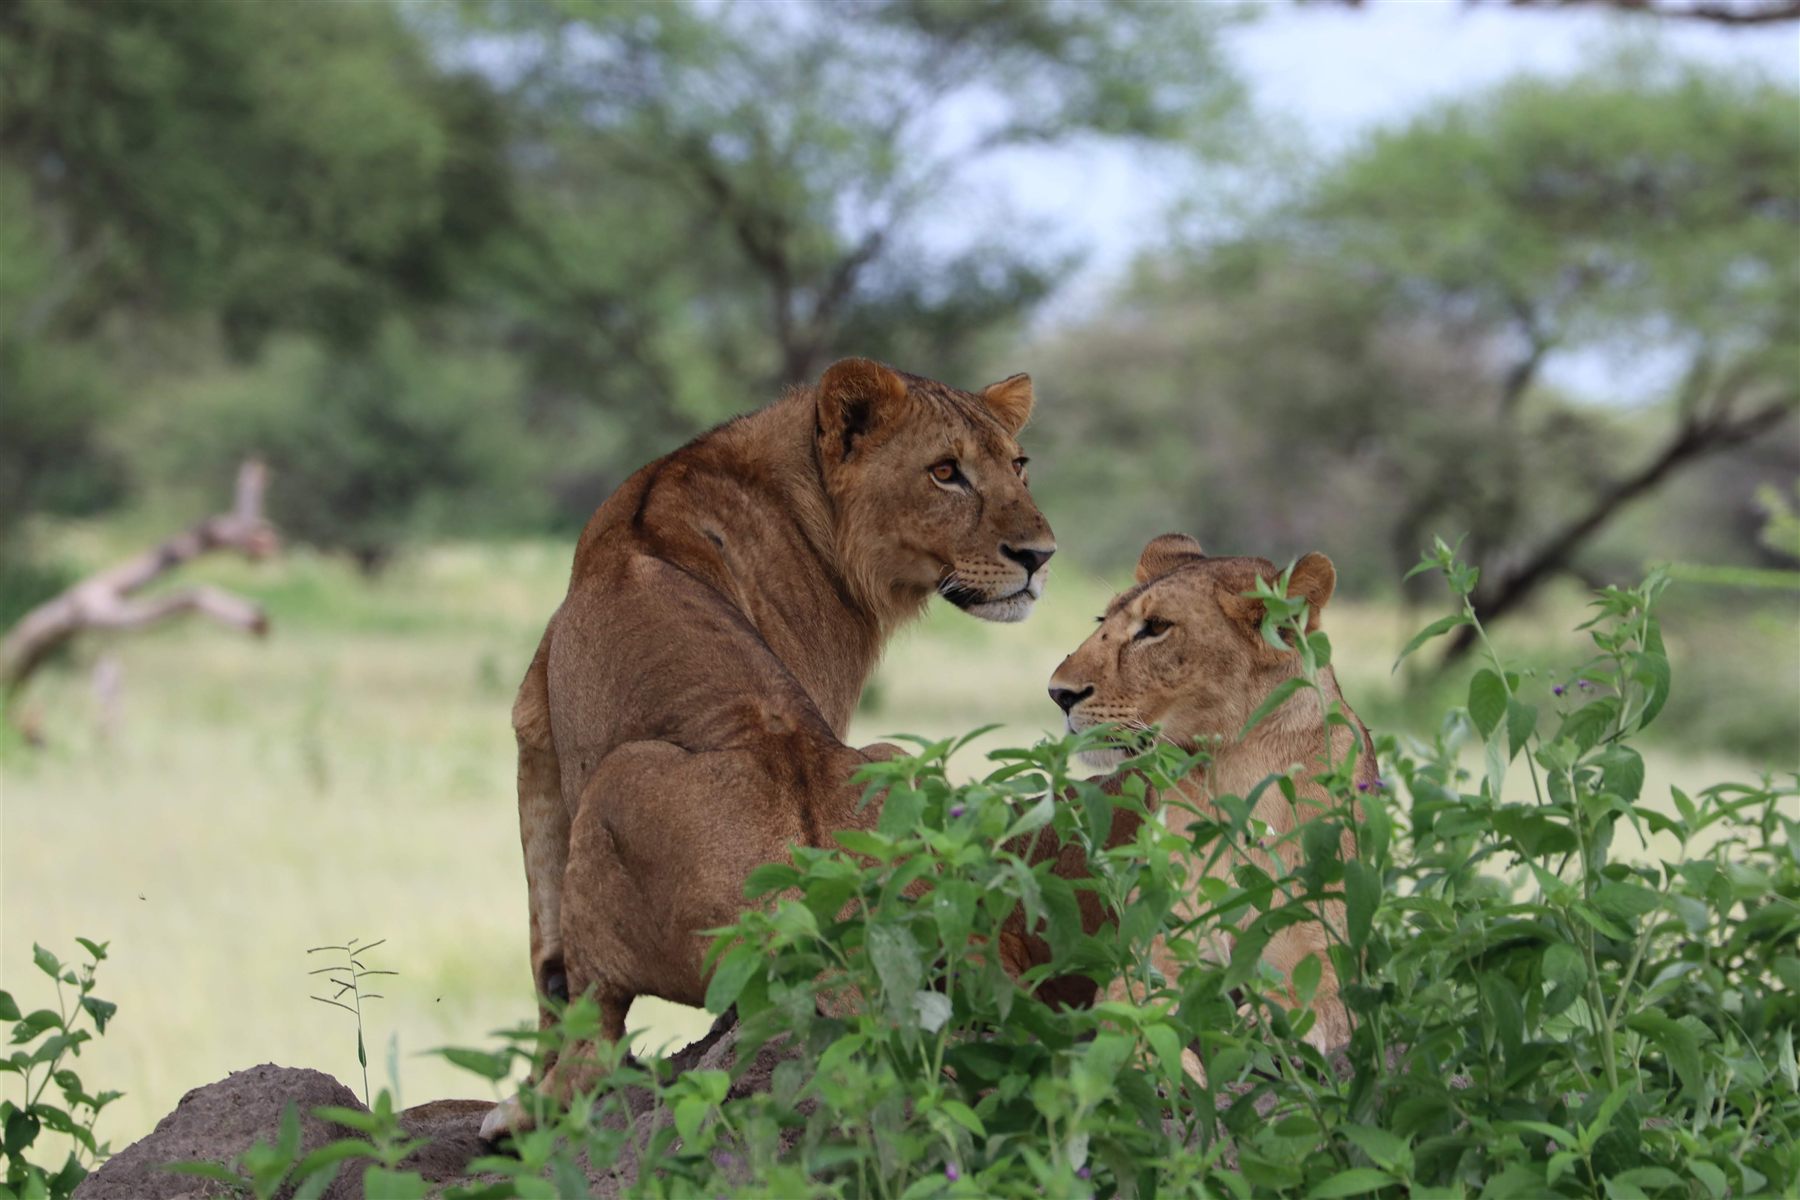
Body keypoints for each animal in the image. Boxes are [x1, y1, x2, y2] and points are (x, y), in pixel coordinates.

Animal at [482, 357, 1056, 1139]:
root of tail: (816, 919)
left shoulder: (534, 726)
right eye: (946, 472)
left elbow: (545, 947)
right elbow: (547, 946)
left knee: (591, 1042)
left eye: (1019, 466)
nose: (1040, 556)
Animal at [1001, 533, 1373, 1060]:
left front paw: (1260, 1029)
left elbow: (1311, 1000)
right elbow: (1132, 1010)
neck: (1233, 767)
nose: (1059, 694)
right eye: (1101, 621)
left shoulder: (1323, 948)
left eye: (1156, 628)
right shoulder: (1154, 950)